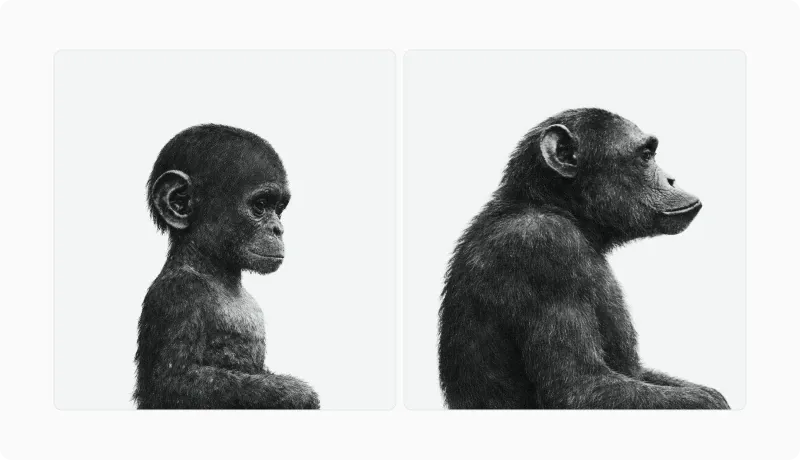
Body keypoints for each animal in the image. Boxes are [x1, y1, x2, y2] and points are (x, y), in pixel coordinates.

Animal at [133, 124, 319, 409]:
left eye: (279, 209)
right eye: (260, 205)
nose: (278, 229)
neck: (216, 271)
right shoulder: (177, 294)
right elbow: (173, 381)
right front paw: (297, 393)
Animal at [438, 108, 730, 409]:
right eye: (646, 156)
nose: (671, 178)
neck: (557, 207)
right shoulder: (544, 247)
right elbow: (578, 388)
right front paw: (714, 401)